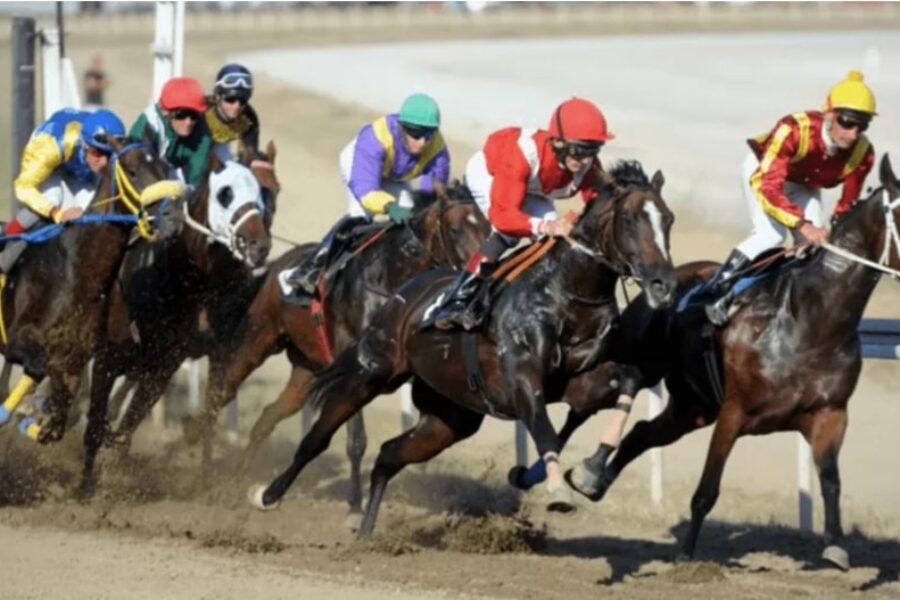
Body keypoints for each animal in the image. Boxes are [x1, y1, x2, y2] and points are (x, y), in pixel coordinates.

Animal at [0, 138, 185, 445]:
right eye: (132, 170)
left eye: (164, 166)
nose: (174, 217)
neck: (76, 276)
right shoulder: (19, 340)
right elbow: (38, 371)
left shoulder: (74, 362)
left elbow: (57, 423)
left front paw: (31, 418)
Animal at [79, 151, 274, 493]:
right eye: (225, 193)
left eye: (260, 194)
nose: (258, 245)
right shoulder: (110, 357)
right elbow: (99, 420)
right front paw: (88, 483)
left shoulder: (191, 356)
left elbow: (207, 408)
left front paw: (205, 472)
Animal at [181, 184, 490, 525]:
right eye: (456, 228)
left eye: (487, 225)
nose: (484, 270)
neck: (389, 280)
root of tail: (279, 264)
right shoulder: (358, 372)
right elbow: (356, 441)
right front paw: (355, 507)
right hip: (257, 338)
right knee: (221, 392)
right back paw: (199, 455)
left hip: (306, 371)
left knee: (267, 416)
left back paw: (237, 480)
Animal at [246, 161, 677, 536]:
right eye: (629, 220)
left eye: (668, 219)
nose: (663, 283)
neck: (565, 295)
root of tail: (404, 294)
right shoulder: (521, 381)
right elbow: (545, 428)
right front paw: (557, 489)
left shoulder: (578, 380)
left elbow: (624, 382)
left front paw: (586, 473)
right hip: (370, 372)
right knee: (319, 437)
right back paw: (267, 494)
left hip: (450, 417)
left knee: (388, 454)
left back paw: (366, 530)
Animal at [565, 154, 900, 570]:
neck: (810, 321)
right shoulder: (734, 412)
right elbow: (707, 490)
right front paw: (686, 556)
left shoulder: (830, 414)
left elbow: (831, 481)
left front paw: (836, 547)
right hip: (635, 365)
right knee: (584, 401)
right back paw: (576, 474)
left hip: (692, 408)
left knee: (642, 432)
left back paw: (596, 481)